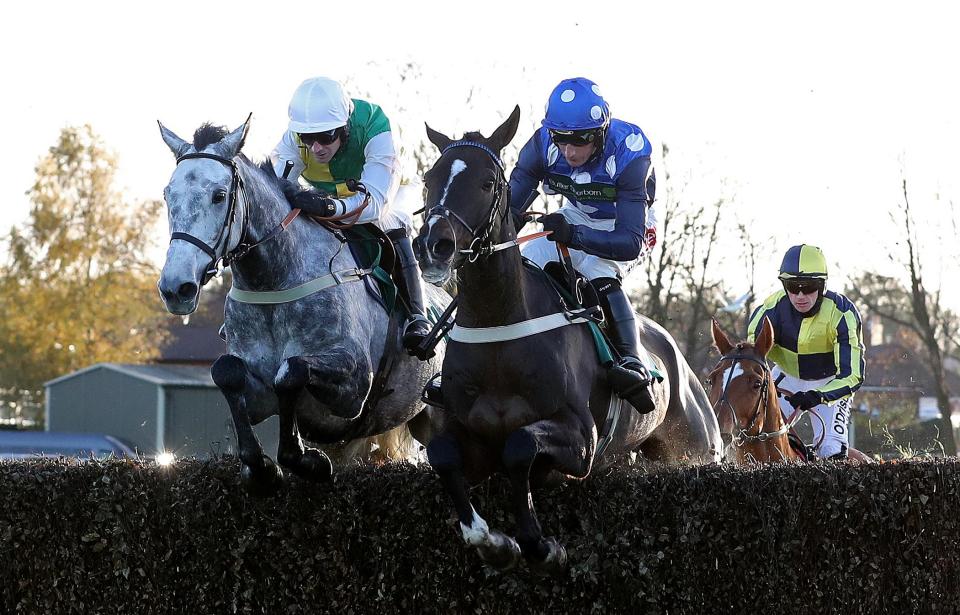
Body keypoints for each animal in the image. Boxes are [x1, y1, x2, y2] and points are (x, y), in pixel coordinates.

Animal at [157, 116, 446, 496]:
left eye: (219, 196)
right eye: (167, 195)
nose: (176, 288)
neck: (273, 282)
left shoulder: (355, 389)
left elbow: (290, 371)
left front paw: (303, 459)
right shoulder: (257, 395)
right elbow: (226, 372)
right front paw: (261, 468)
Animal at [412, 108, 720, 576]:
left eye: (487, 182)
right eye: (430, 178)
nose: (433, 245)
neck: (497, 329)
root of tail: (680, 362)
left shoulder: (582, 439)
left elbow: (519, 448)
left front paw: (540, 545)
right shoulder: (466, 434)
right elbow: (442, 455)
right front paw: (492, 541)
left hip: (695, 448)